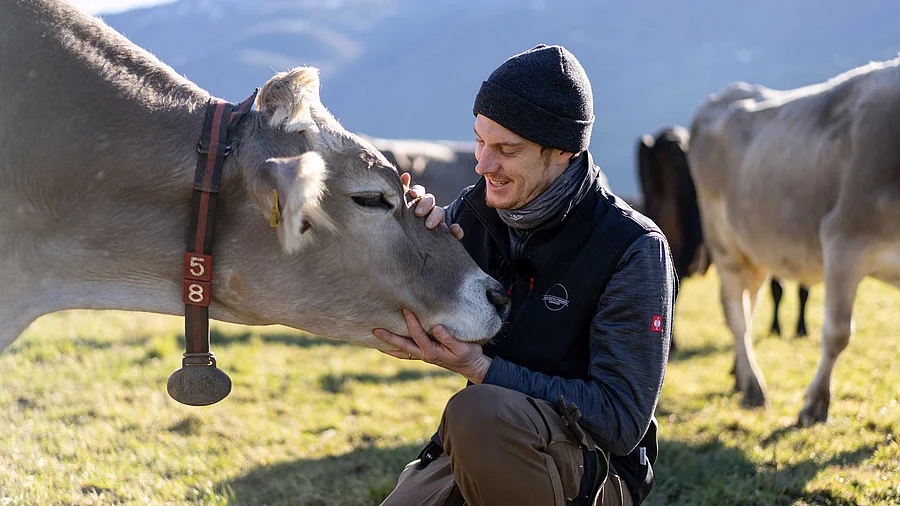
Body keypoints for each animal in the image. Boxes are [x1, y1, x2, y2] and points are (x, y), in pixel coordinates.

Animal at [685, 58, 900, 425]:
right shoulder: (843, 240)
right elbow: (837, 333)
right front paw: (815, 405)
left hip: (755, 250)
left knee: (748, 304)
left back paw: (740, 376)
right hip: (723, 242)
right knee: (735, 312)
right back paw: (753, 387)